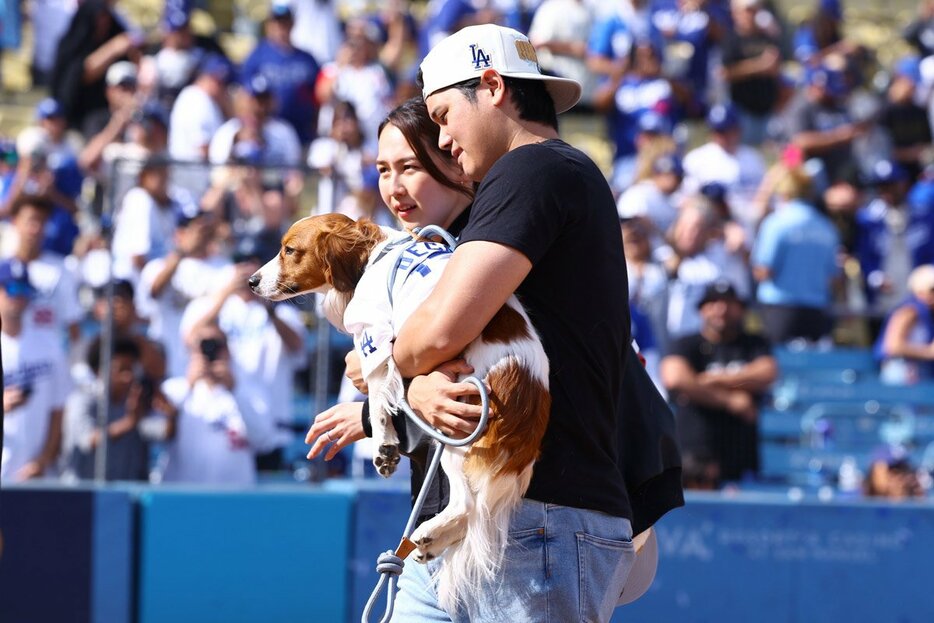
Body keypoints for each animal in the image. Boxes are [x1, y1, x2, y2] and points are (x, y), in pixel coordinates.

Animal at [252, 214, 552, 608]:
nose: (251, 281)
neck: (371, 258)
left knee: (467, 505)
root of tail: (530, 395)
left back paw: (429, 531)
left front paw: (384, 446)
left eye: (290, 250)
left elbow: (380, 397)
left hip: (457, 440)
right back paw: (430, 542)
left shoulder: (376, 342)